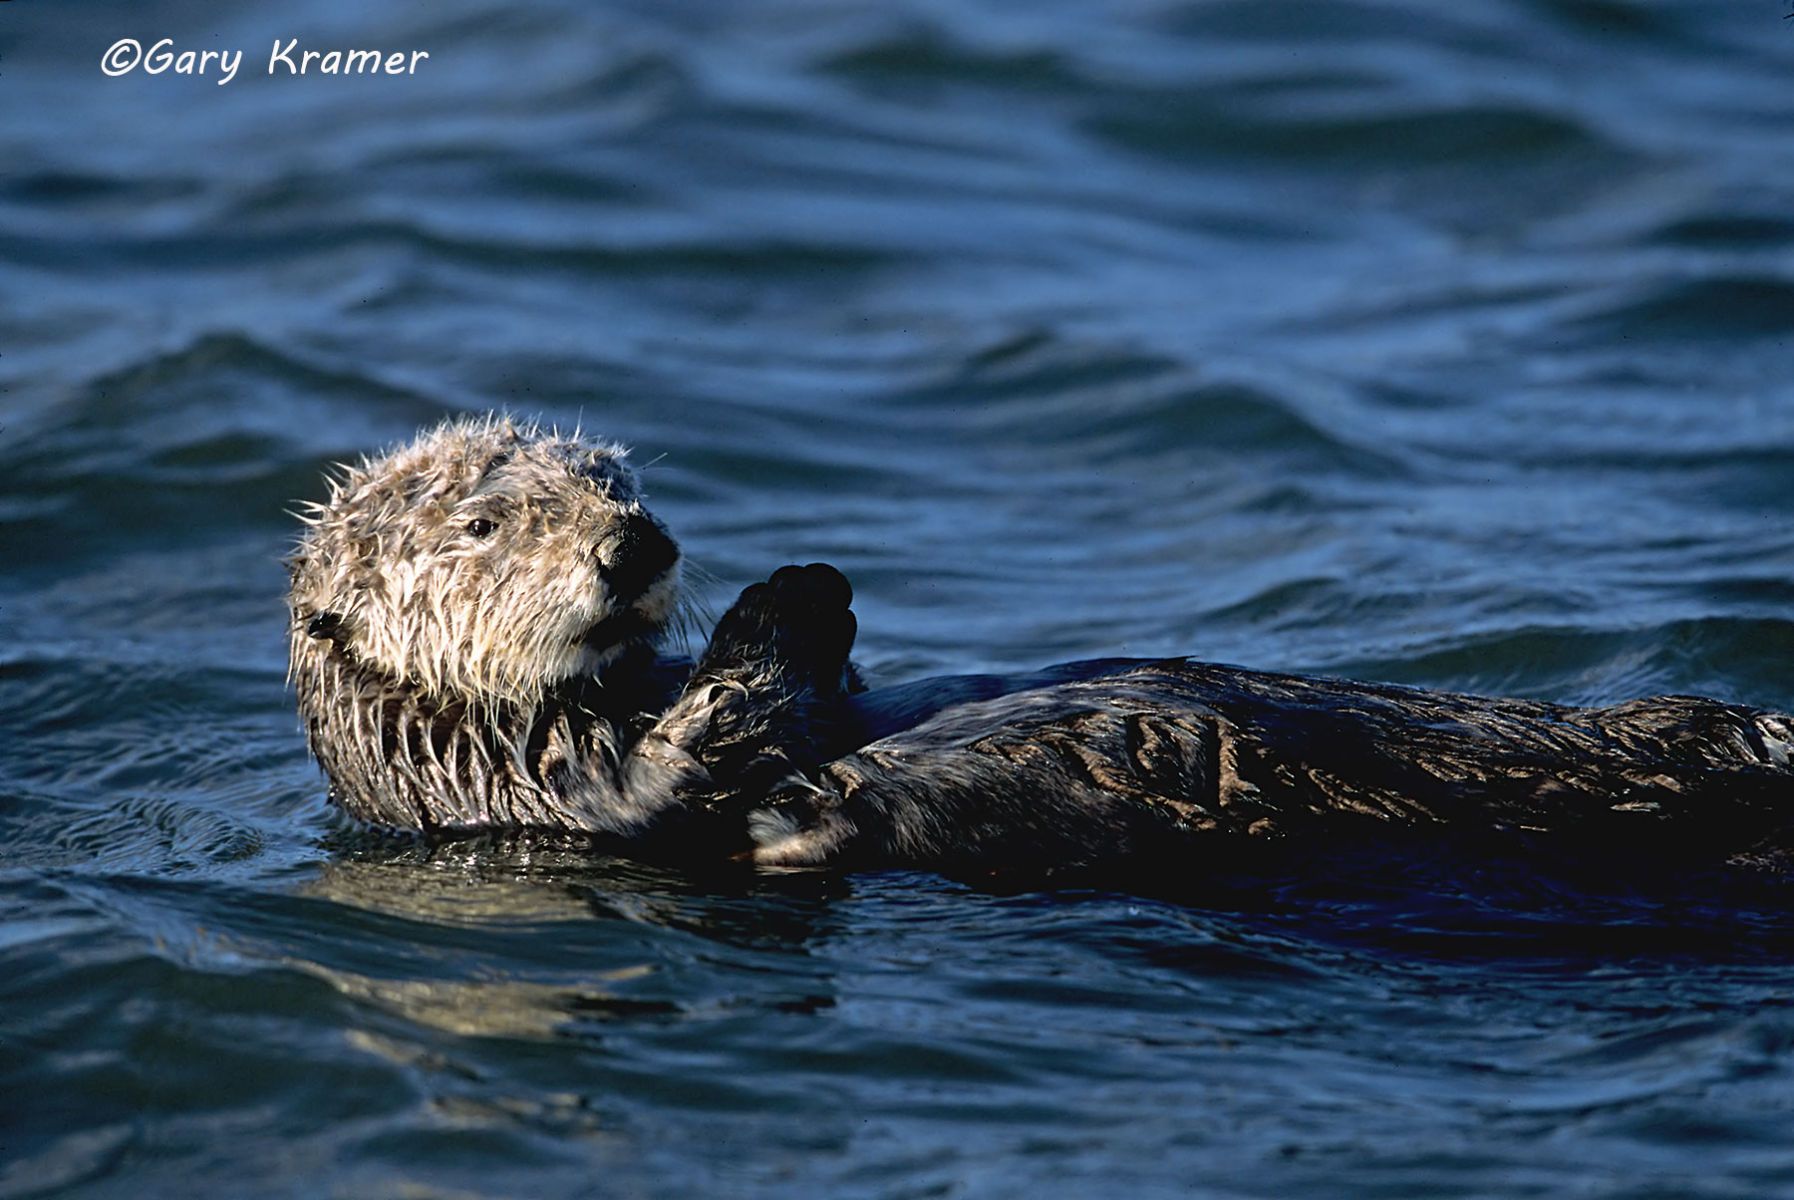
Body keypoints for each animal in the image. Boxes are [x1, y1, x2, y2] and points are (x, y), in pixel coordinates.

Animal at [289, 417, 1794, 871]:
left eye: (613, 475)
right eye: (485, 521)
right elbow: (700, 771)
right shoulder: (551, 794)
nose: (638, 544)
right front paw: (797, 592)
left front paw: (822, 595)